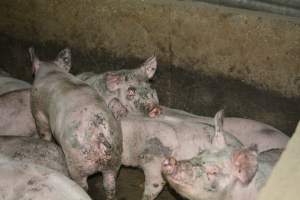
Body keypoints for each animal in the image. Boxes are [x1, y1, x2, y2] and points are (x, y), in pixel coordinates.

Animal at [28, 47, 122, 200]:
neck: (52, 70)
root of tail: (99, 133)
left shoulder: (38, 110)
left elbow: (43, 130)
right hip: (115, 155)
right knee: (110, 184)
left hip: (77, 160)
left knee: (83, 184)